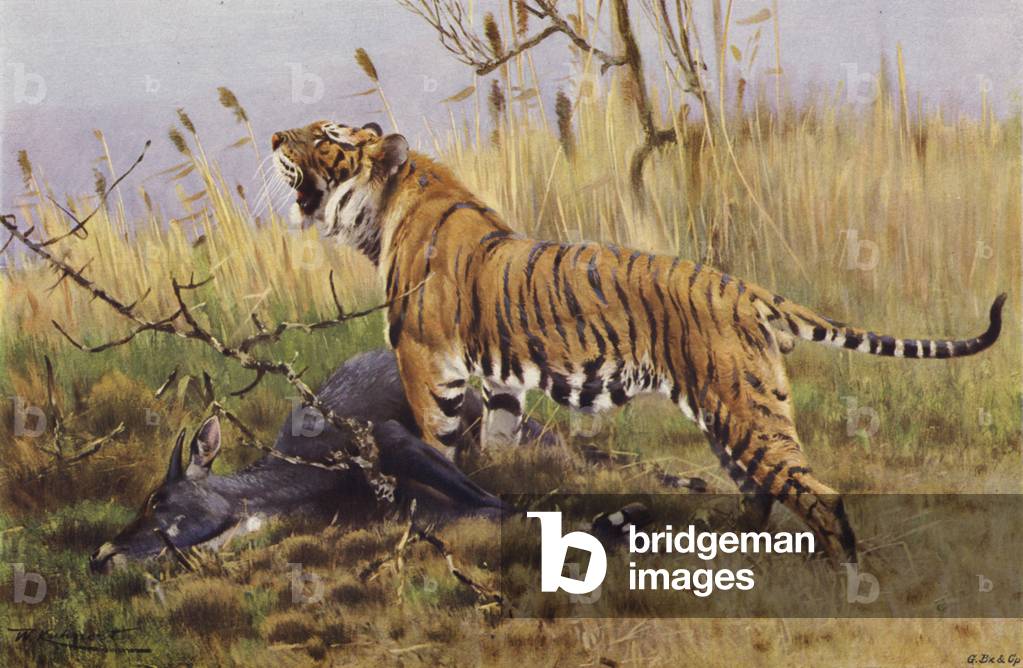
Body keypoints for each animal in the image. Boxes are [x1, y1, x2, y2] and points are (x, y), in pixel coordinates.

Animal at [270, 120, 1006, 562]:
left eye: (326, 135)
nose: (276, 134)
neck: (386, 210)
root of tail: (743, 287)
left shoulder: (426, 363)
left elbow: (436, 445)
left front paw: (442, 513)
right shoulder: (498, 379)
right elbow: (497, 441)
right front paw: (494, 495)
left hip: (743, 413)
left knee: (814, 494)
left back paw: (837, 580)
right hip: (733, 413)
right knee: (760, 491)